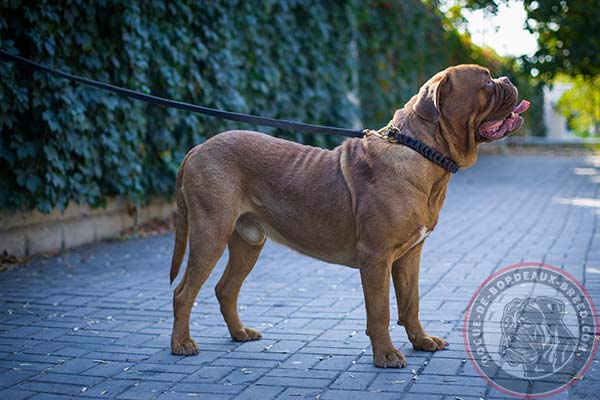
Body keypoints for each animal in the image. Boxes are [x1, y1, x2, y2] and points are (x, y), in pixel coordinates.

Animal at [169, 64, 528, 368]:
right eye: (486, 82)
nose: (508, 79)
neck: (420, 150)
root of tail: (197, 149)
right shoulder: (376, 257)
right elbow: (380, 310)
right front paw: (386, 355)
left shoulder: (410, 255)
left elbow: (410, 302)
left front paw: (421, 340)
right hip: (210, 234)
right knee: (184, 292)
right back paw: (182, 344)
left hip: (247, 242)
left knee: (225, 289)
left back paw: (239, 333)